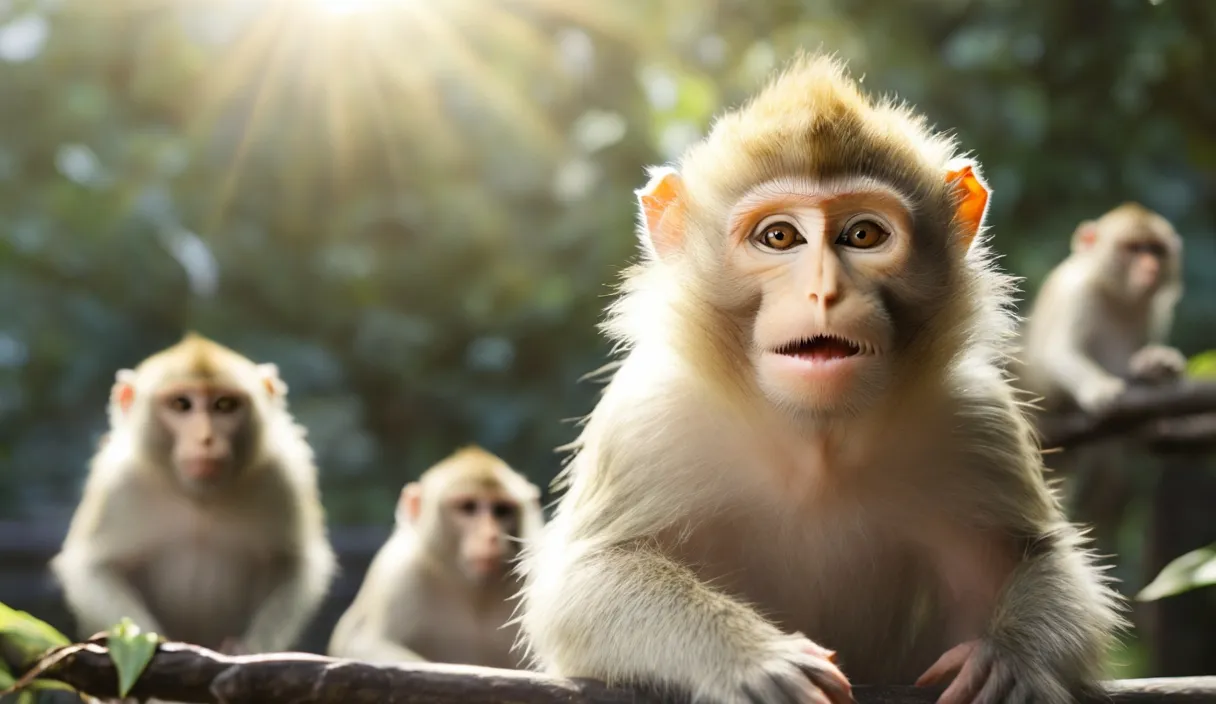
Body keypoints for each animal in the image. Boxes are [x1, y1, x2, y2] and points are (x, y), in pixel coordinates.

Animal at [48, 333, 338, 656]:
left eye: (224, 404)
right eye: (181, 404)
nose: (205, 439)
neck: (199, 498)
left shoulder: (282, 474)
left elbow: (294, 565)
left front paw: (247, 649)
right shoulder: (119, 483)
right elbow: (95, 569)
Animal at [330, 449, 544, 671]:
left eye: (502, 510)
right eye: (468, 507)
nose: (490, 536)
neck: (472, 589)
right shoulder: (400, 570)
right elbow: (368, 643)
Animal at [513, 53, 1118, 704]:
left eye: (864, 234)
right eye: (779, 236)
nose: (824, 291)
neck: (816, 443)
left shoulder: (974, 420)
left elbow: (1040, 560)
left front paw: (1008, 660)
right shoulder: (650, 418)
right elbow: (583, 582)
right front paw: (751, 657)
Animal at [1016, 205, 1186, 588]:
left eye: (1155, 250)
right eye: (1133, 249)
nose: (1151, 268)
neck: (1116, 295)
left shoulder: (1151, 311)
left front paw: (1156, 365)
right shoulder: (1078, 294)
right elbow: (1057, 353)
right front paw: (1100, 389)